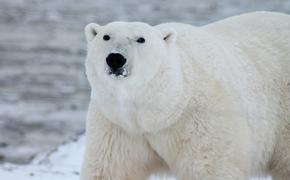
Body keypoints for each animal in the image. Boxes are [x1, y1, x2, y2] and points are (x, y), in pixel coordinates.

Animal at [80, 11, 290, 179]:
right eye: (106, 36)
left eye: (141, 39)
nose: (115, 58)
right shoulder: (118, 126)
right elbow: (111, 169)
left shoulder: (199, 119)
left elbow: (211, 167)